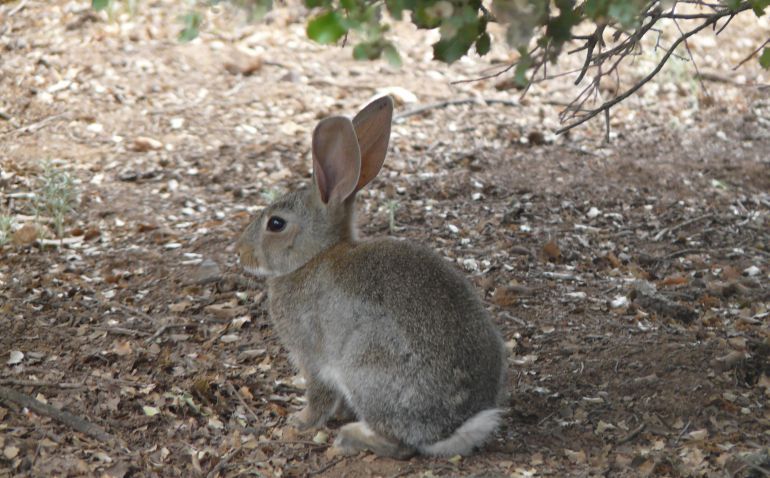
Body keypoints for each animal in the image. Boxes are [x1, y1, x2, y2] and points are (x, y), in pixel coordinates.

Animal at [237, 95, 508, 458]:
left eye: (276, 224)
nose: (240, 252)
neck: (314, 257)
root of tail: (451, 428)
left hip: (365, 368)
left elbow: (319, 394)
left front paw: (300, 421)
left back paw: (351, 437)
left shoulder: (312, 356)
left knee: (398, 445)